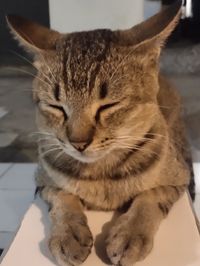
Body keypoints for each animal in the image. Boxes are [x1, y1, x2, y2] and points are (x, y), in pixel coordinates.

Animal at [7, 1, 192, 264]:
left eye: (108, 106)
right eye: (56, 107)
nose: (78, 142)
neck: (100, 174)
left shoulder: (178, 179)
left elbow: (150, 197)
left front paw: (130, 234)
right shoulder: (43, 181)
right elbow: (62, 199)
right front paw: (67, 234)